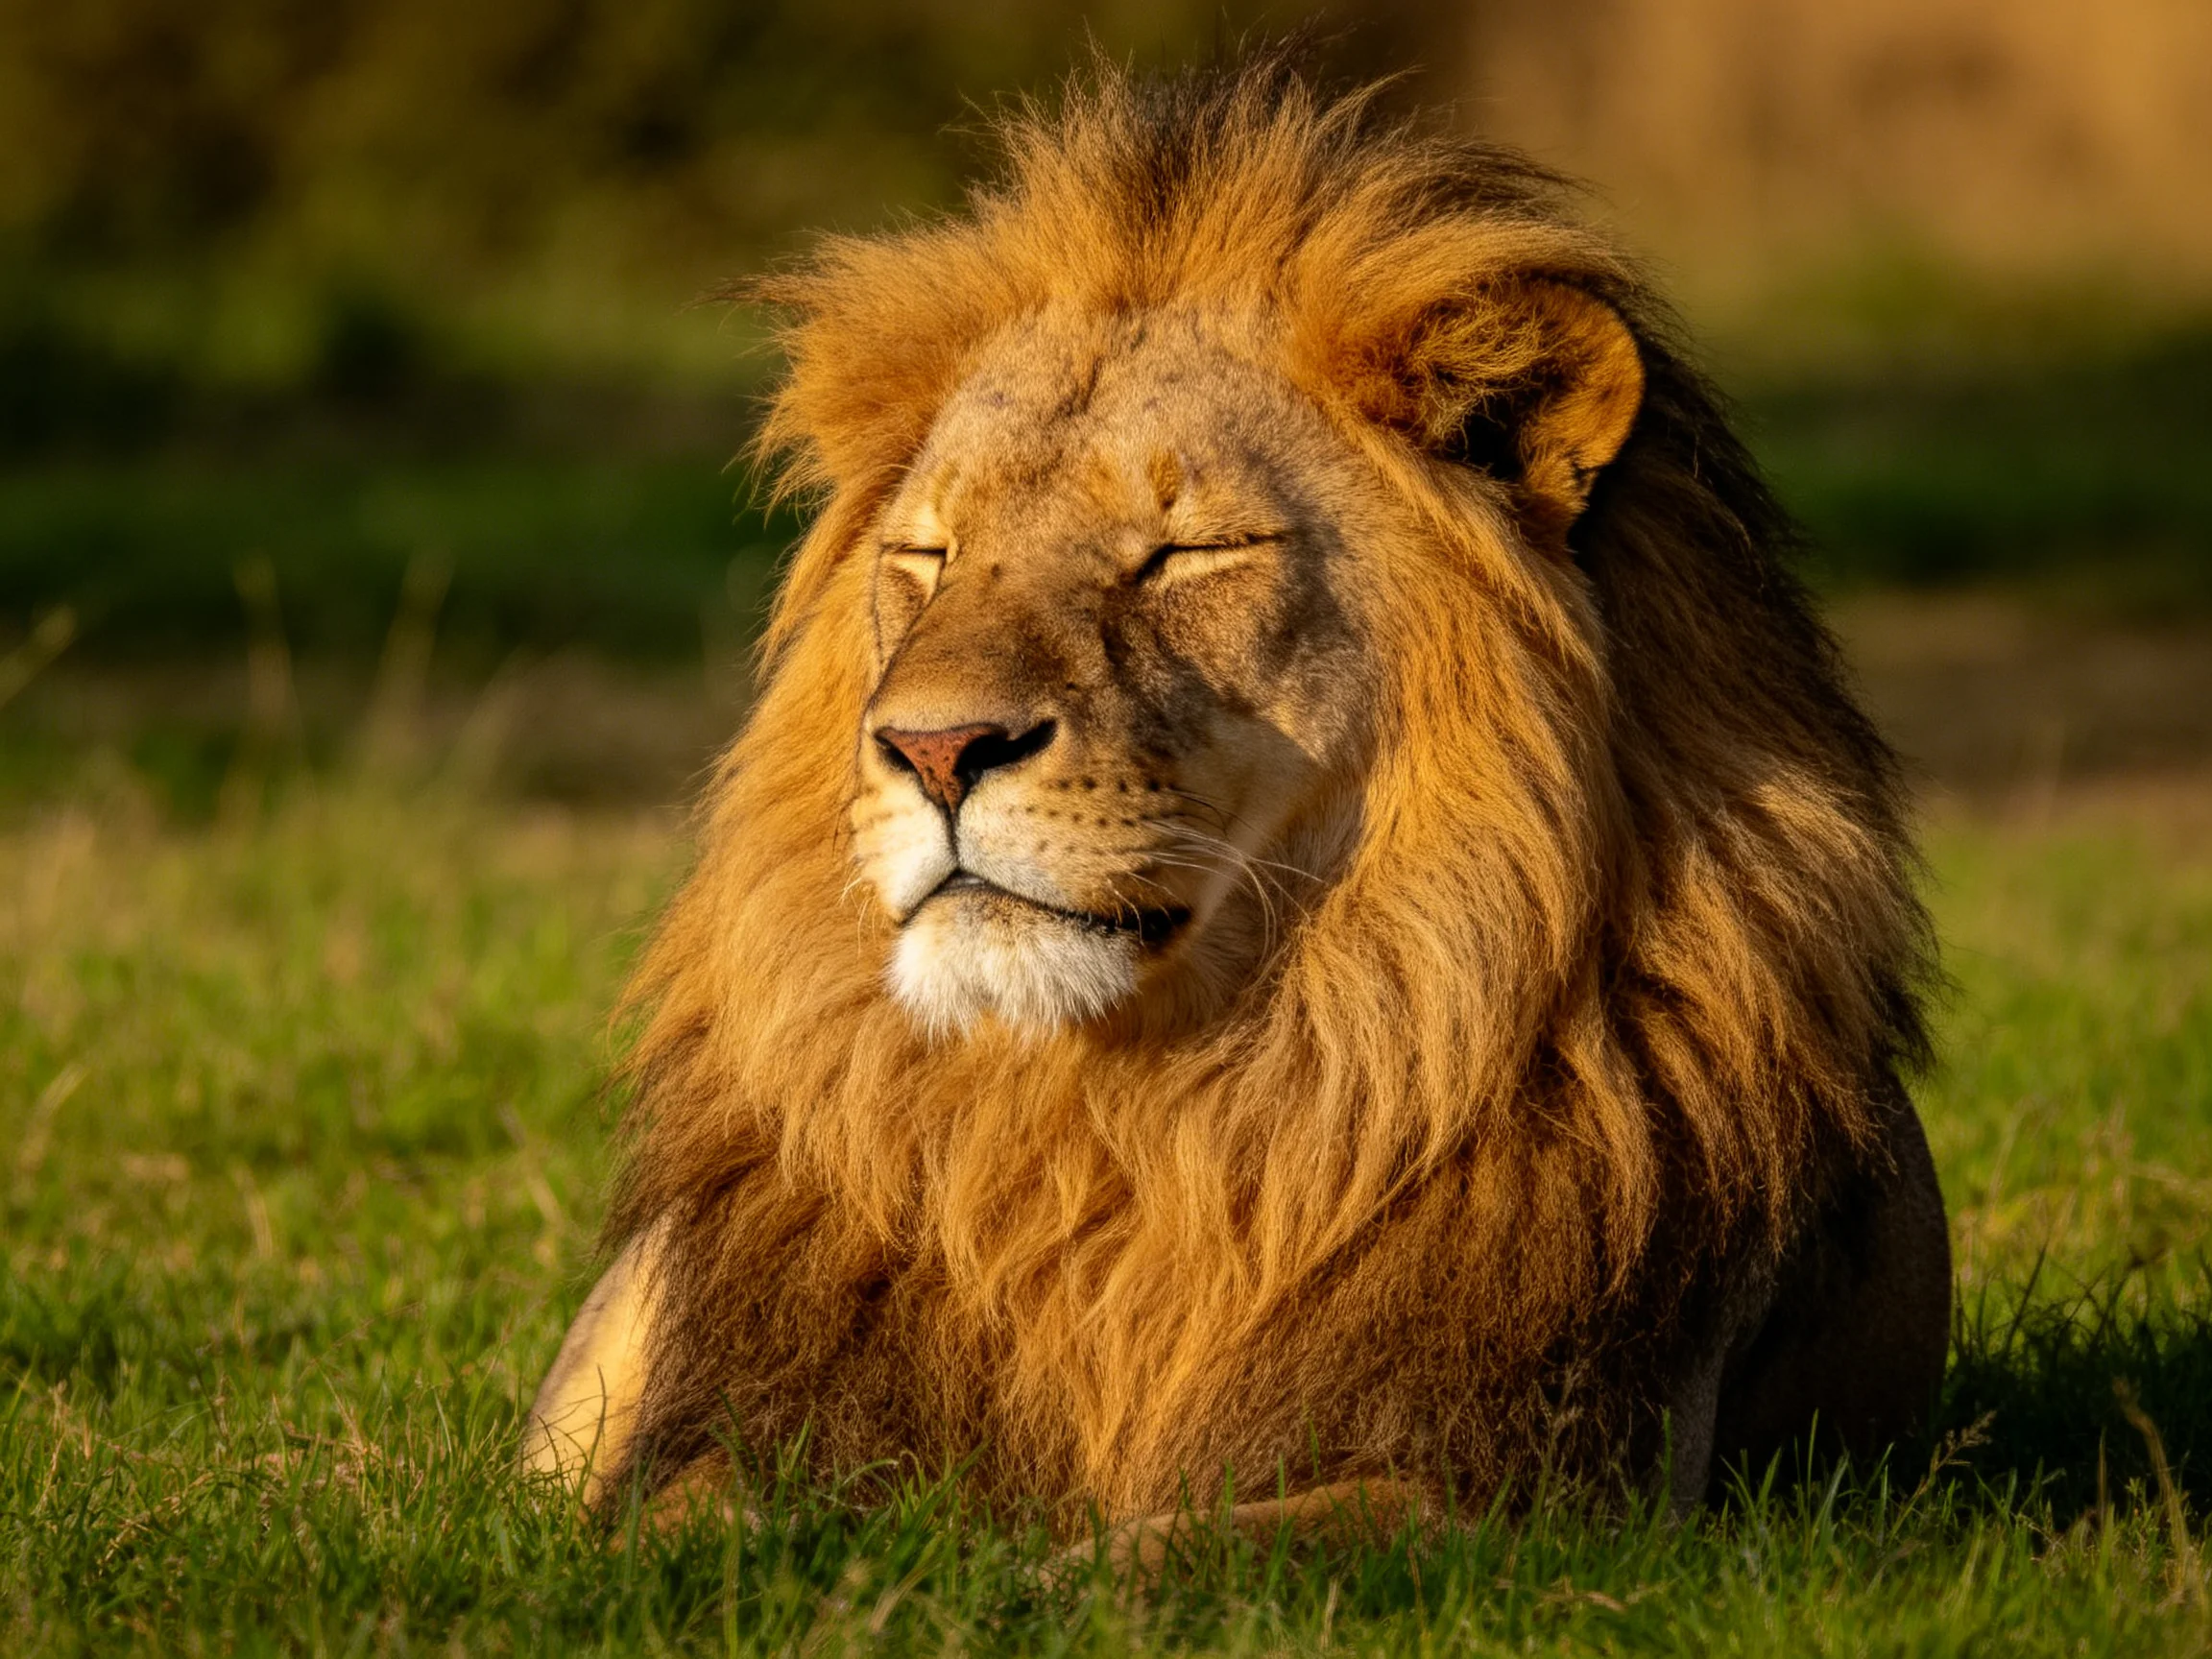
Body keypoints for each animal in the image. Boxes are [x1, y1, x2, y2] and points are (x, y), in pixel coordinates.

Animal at [523, 52, 1950, 1550]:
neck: (1130, 1124)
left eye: (1188, 553)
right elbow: (681, 1526)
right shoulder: (749, 1421)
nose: (934, 746)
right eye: (929, 554)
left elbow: (1147, 1557)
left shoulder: (1539, 1487)